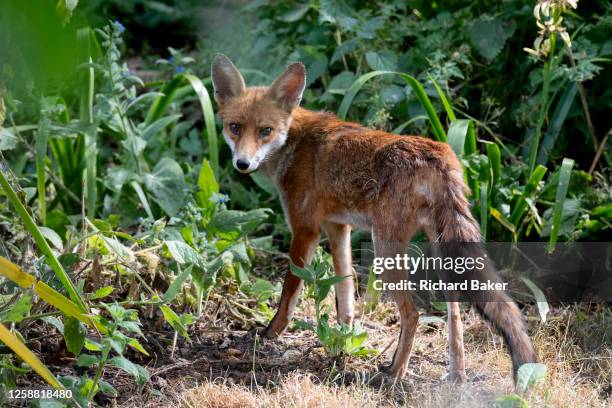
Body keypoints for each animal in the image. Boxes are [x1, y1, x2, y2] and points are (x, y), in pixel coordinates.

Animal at [210, 54, 536, 382]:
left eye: (265, 131)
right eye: (235, 127)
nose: (242, 163)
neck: (295, 141)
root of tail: (438, 152)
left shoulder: (304, 229)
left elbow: (289, 294)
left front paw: (270, 334)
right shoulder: (338, 227)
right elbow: (345, 293)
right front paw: (341, 343)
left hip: (386, 249)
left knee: (413, 313)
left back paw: (395, 372)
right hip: (442, 252)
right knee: (454, 315)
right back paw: (456, 376)